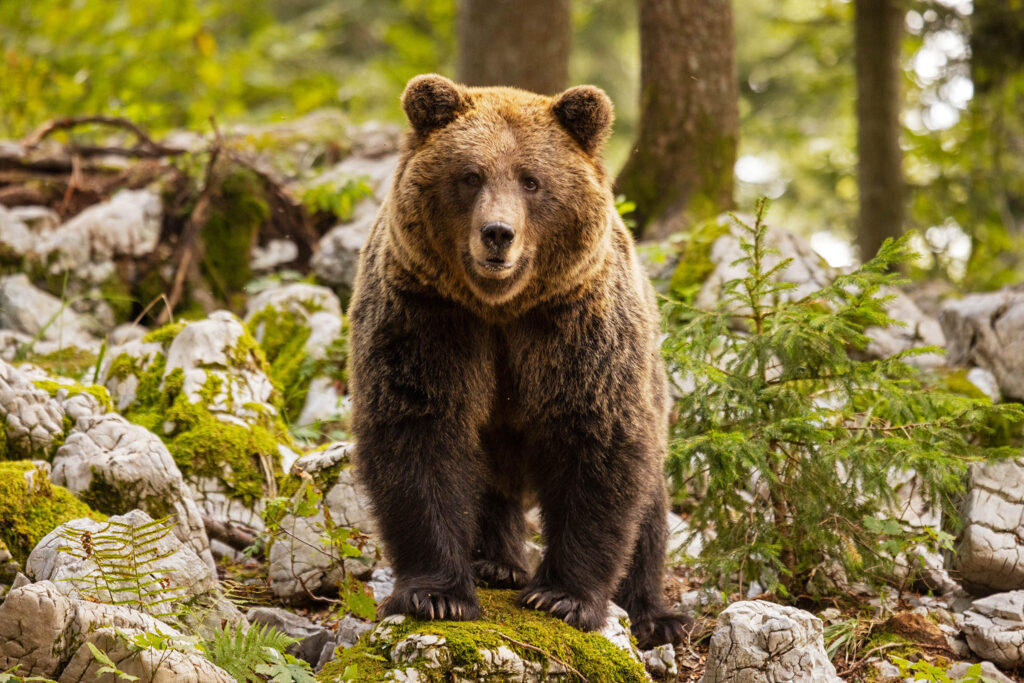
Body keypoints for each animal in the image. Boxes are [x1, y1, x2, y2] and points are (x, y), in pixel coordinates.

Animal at [350, 73, 688, 647]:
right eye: (470, 175)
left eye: (531, 180)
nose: (497, 233)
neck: (501, 307)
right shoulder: (427, 317)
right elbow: (419, 432)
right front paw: (436, 595)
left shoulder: (575, 327)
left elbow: (596, 440)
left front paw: (562, 597)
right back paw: (496, 563)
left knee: (647, 505)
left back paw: (654, 614)